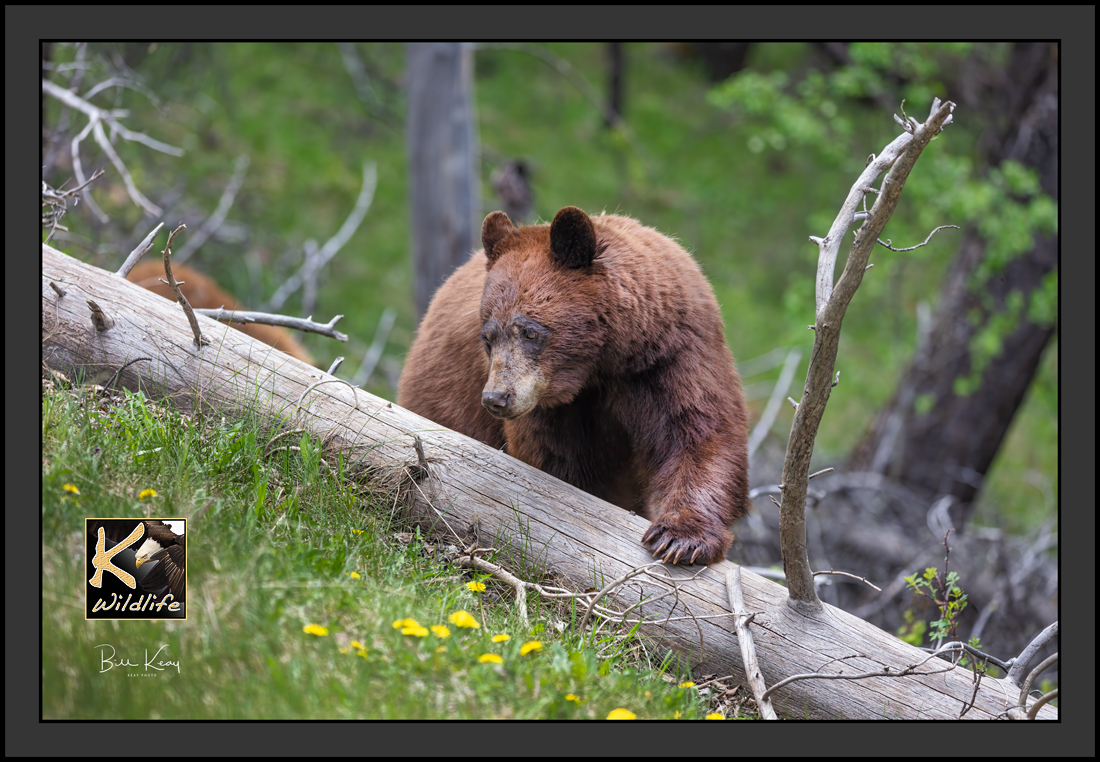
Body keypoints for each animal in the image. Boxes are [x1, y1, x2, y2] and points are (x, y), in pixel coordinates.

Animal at [398, 207, 750, 565]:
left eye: (530, 331)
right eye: (488, 336)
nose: (496, 398)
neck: (599, 366)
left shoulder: (669, 355)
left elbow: (698, 430)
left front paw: (678, 538)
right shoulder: (554, 408)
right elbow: (561, 463)